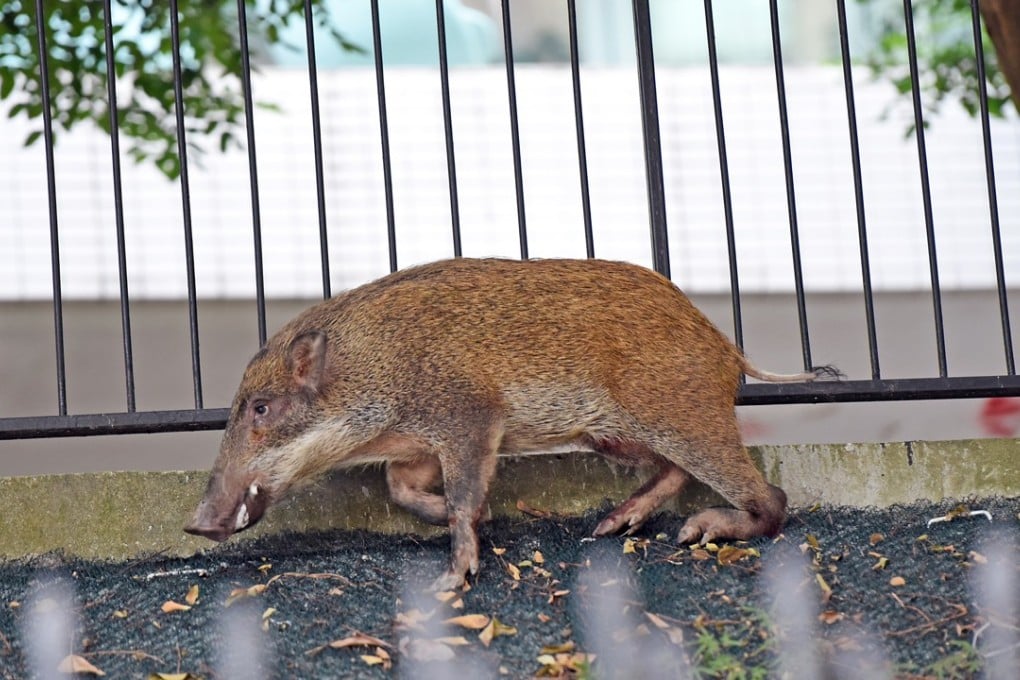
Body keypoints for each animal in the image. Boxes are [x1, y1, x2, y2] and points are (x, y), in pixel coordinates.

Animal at [185, 257, 837, 590]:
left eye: (261, 407)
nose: (196, 523)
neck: (374, 372)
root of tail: (729, 350)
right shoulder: (416, 447)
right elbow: (398, 486)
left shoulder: (470, 416)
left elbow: (465, 493)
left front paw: (452, 580)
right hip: (614, 433)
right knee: (673, 473)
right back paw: (610, 526)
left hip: (684, 416)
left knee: (771, 500)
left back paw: (694, 533)